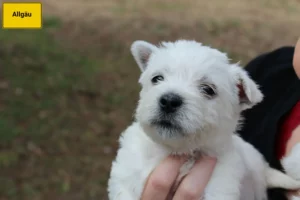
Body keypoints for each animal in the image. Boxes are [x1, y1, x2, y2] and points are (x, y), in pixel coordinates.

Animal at [108, 39, 300, 199]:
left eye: (208, 89)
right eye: (157, 78)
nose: (169, 101)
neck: (178, 152)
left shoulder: (219, 188)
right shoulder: (126, 177)